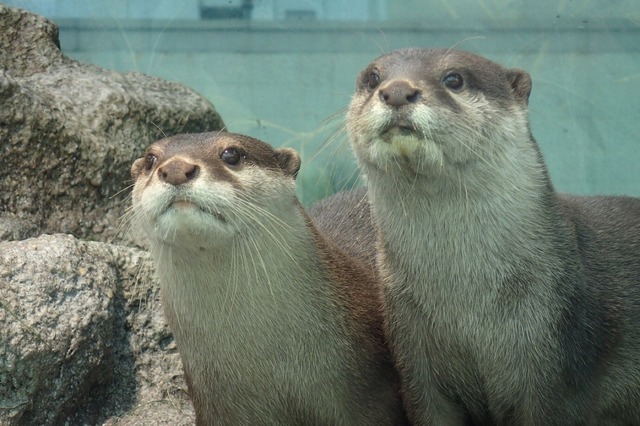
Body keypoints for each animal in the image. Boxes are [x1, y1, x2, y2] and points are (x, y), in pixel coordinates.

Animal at [344, 48, 640, 424]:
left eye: (454, 78)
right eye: (373, 78)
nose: (397, 91)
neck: (470, 308)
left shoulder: (561, 367)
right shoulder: (415, 362)